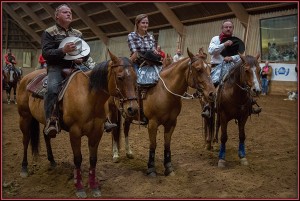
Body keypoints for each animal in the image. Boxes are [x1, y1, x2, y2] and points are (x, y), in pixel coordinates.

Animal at [16, 50, 138, 198]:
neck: (89, 97)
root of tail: (26, 78)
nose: (133, 109)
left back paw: (52, 161)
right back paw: (24, 168)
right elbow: (78, 159)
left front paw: (94, 186)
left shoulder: (97, 132)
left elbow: (93, 159)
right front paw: (79, 188)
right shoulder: (75, 132)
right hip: (25, 117)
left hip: (45, 120)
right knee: (25, 140)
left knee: (46, 136)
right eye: (120, 77)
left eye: (136, 77)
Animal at [109, 48, 217, 177]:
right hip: (113, 110)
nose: (212, 93)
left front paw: (169, 168)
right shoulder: (152, 123)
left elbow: (167, 144)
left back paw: (129, 152)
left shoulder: (171, 123)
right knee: (115, 129)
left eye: (210, 69)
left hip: (129, 113)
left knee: (125, 129)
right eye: (198, 69)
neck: (164, 92)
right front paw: (151, 169)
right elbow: (153, 145)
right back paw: (115, 154)